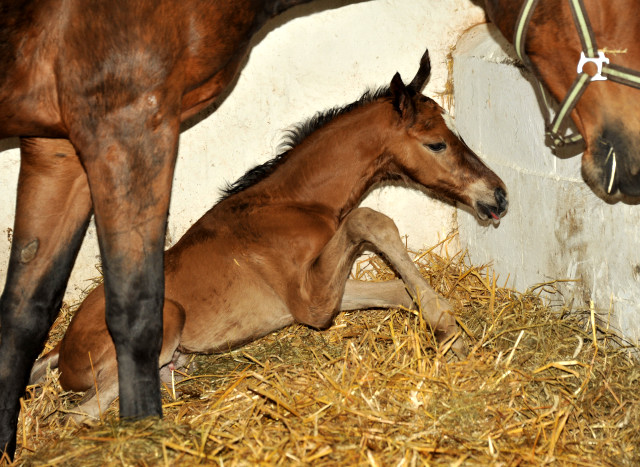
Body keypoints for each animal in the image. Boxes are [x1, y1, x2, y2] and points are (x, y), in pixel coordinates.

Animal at [30, 50, 510, 420]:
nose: (499, 196)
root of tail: (61, 348)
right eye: (436, 144)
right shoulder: (312, 303)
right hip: (165, 321)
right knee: (80, 415)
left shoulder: (320, 294)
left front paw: (452, 336)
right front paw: (444, 317)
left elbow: (395, 290)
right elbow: (371, 221)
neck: (290, 203)